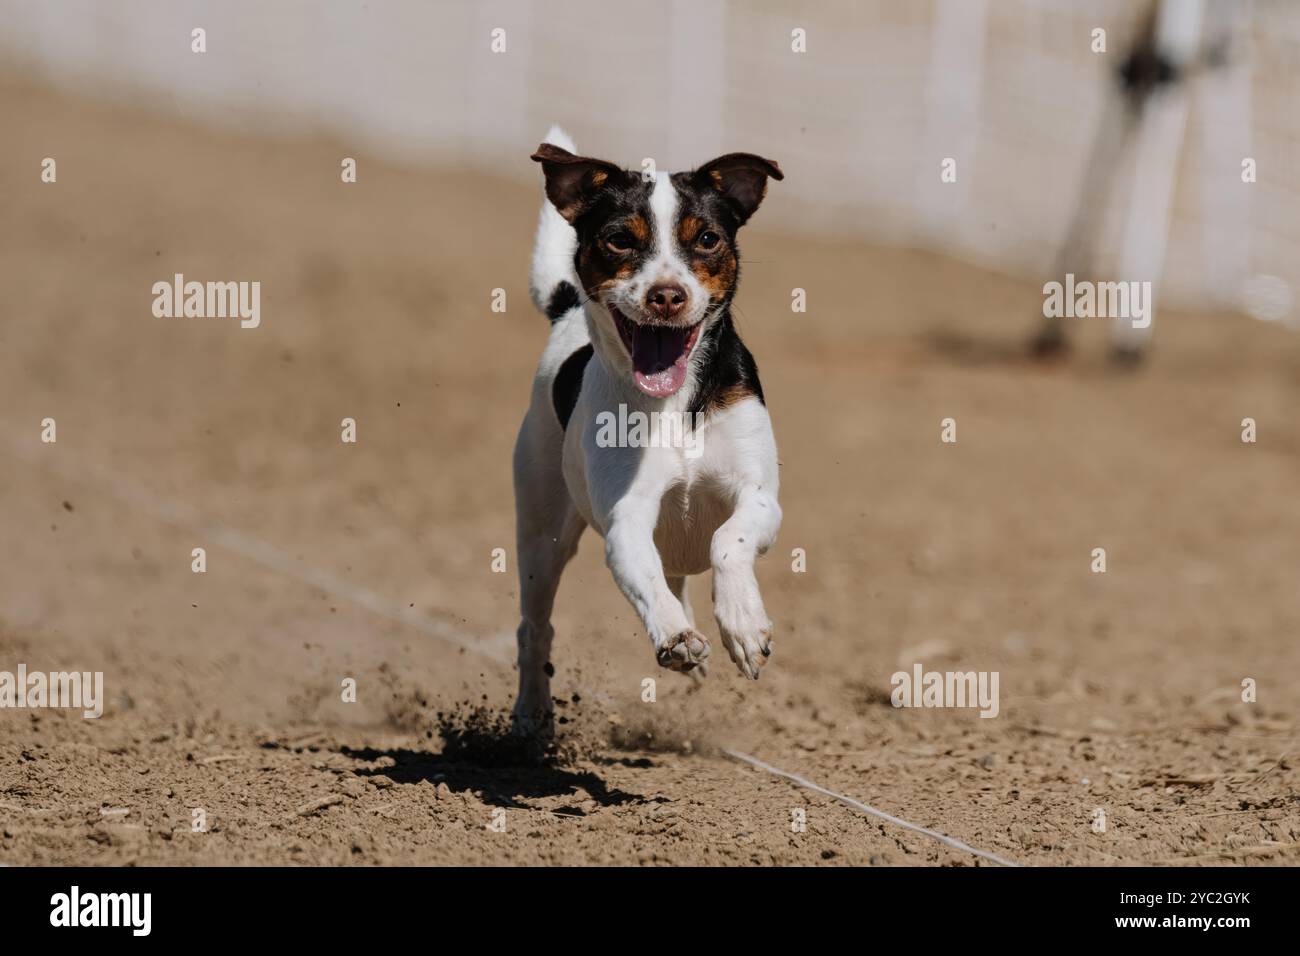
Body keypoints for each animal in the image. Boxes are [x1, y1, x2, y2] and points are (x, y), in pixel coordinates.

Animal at [512, 127, 780, 738]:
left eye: (706, 239)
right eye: (618, 241)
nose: (666, 294)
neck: (673, 403)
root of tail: (565, 313)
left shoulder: (761, 498)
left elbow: (727, 540)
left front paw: (742, 622)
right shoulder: (626, 518)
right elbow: (645, 570)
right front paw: (676, 635)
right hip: (541, 537)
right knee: (535, 628)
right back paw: (531, 715)